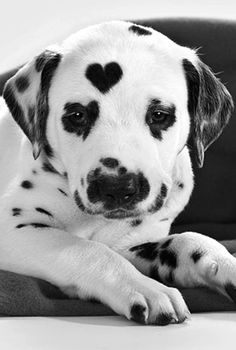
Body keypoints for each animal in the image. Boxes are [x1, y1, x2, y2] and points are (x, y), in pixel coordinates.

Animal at [0, 20, 235, 324]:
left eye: (159, 115)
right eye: (77, 115)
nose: (118, 187)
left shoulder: (130, 244)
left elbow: (187, 240)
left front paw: (226, 263)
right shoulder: (14, 229)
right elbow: (87, 249)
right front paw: (145, 287)